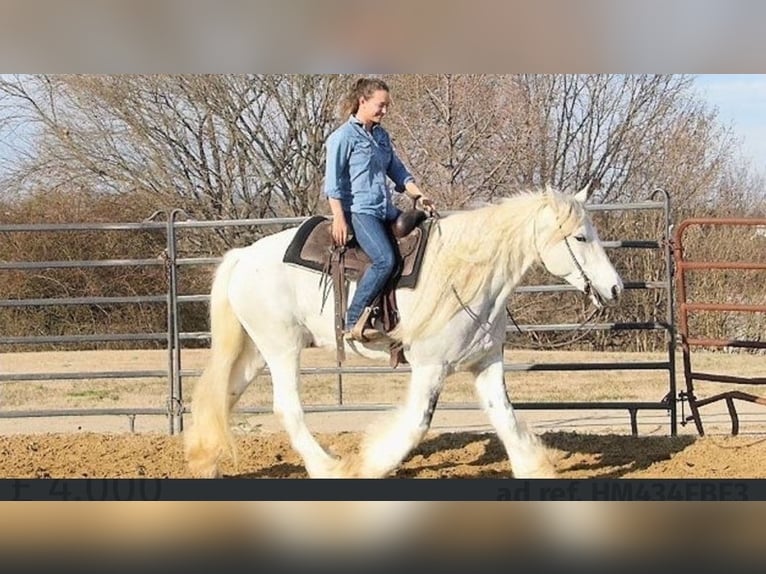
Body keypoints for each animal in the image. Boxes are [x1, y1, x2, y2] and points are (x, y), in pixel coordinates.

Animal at [184, 187, 624, 480]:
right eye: (580, 237)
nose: (616, 287)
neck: (467, 273)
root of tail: (243, 257)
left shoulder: (485, 362)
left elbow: (505, 418)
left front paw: (534, 469)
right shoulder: (430, 366)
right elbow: (416, 424)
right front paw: (369, 464)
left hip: (257, 350)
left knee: (224, 395)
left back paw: (206, 461)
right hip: (282, 347)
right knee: (286, 408)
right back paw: (329, 467)